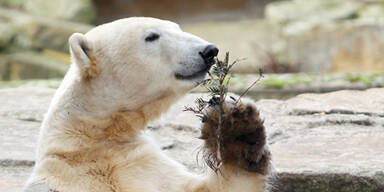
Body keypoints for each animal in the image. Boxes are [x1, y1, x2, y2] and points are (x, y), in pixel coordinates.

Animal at [24, 17, 270, 191]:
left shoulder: (143, 165)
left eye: (178, 28)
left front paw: (237, 128)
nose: (209, 50)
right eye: (152, 36)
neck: (92, 140)